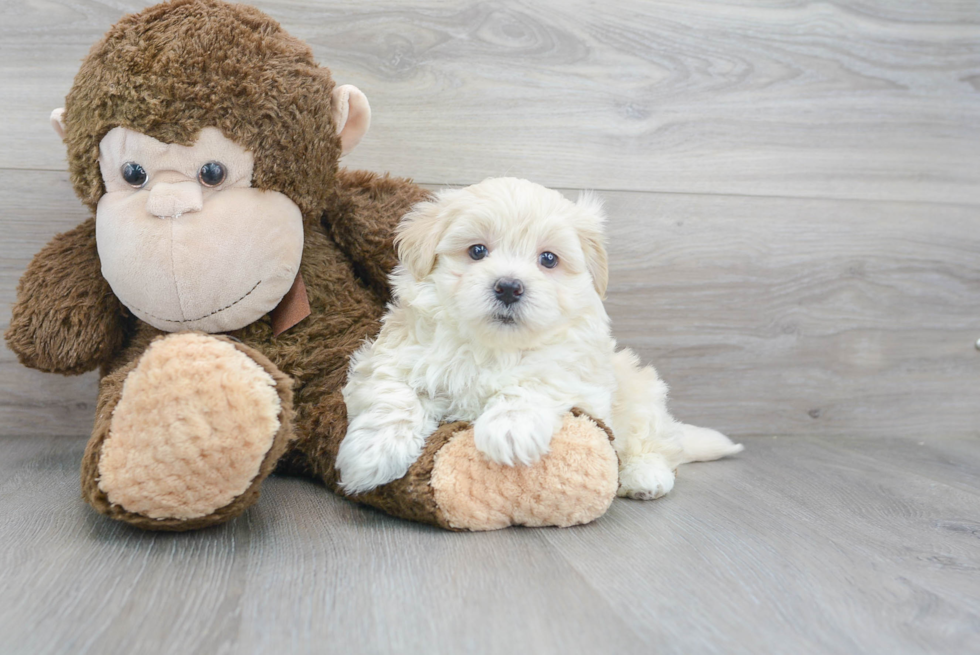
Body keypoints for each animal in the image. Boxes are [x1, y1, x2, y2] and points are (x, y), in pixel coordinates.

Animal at [336, 178, 744, 498]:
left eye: (548, 259)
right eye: (477, 250)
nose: (509, 287)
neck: (493, 346)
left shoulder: (578, 376)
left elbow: (535, 382)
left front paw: (510, 430)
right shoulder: (389, 359)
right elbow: (394, 397)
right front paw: (372, 454)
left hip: (643, 394)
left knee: (655, 441)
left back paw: (645, 476)